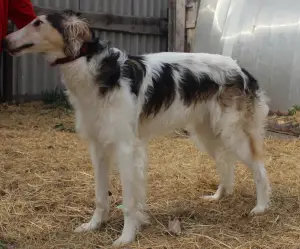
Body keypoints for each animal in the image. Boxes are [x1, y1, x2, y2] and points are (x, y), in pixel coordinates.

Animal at [2, 10, 270, 247]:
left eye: (38, 23)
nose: (4, 40)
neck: (95, 70)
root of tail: (242, 70)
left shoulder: (126, 148)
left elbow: (130, 202)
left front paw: (126, 237)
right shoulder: (98, 147)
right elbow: (101, 196)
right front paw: (93, 225)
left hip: (232, 134)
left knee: (258, 167)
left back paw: (261, 207)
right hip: (207, 133)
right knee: (226, 163)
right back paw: (218, 196)